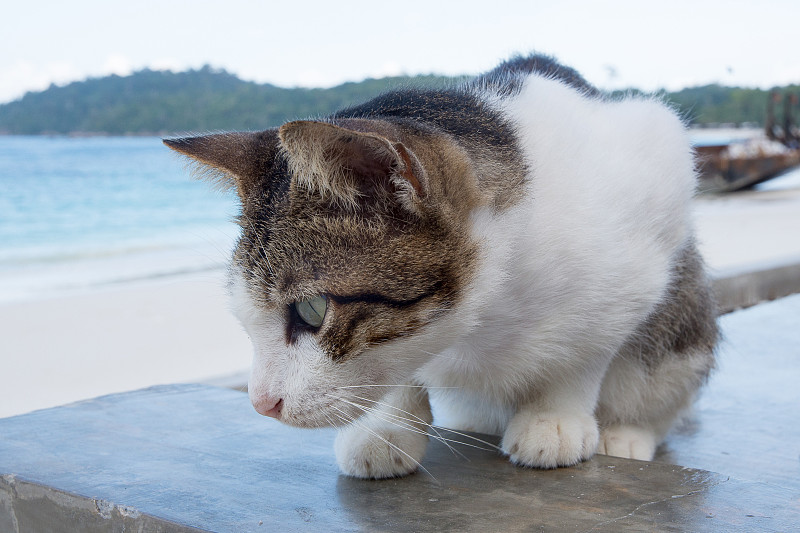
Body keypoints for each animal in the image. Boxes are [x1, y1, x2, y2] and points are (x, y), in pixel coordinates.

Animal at [164, 54, 720, 478]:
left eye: (312, 310)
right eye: (243, 317)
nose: (261, 403)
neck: (485, 318)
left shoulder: (657, 178)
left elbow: (589, 345)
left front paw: (554, 416)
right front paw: (387, 426)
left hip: (683, 326)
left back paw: (625, 434)